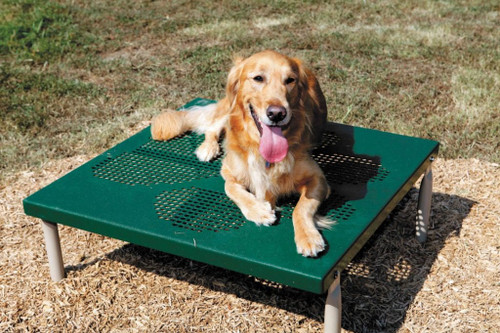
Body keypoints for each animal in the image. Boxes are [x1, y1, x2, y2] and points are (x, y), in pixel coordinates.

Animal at [152, 50, 332, 256]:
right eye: (258, 78)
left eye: (290, 80)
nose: (277, 113)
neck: (259, 147)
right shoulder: (229, 170)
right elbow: (230, 188)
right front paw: (258, 210)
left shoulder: (318, 179)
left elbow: (302, 207)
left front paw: (308, 236)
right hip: (228, 110)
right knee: (212, 127)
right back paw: (208, 148)